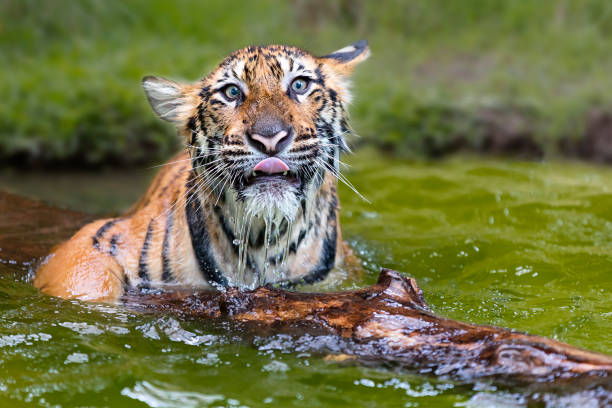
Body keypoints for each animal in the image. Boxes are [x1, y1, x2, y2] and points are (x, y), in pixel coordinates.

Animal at [34, 41, 368, 302]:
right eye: (232, 92)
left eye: (299, 84)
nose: (269, 136)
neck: (261, 240)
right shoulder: (100, 236)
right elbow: (84, 275)